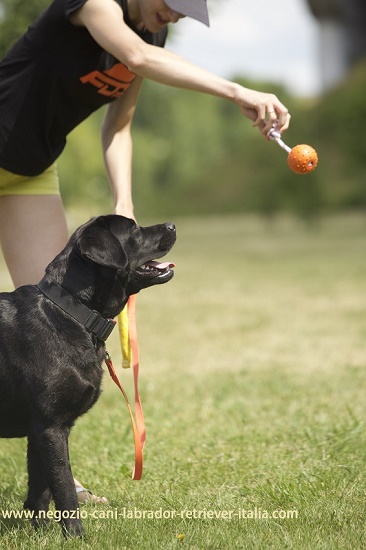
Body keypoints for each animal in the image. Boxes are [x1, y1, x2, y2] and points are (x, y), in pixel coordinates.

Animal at [0, 217, 176, 540]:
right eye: (133, 229)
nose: (171, 225)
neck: (73, 313)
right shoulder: (51, 427)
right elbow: (63, 487)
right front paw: (76, 536)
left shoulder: (39, 428)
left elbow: (40, 490)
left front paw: (41, 534)